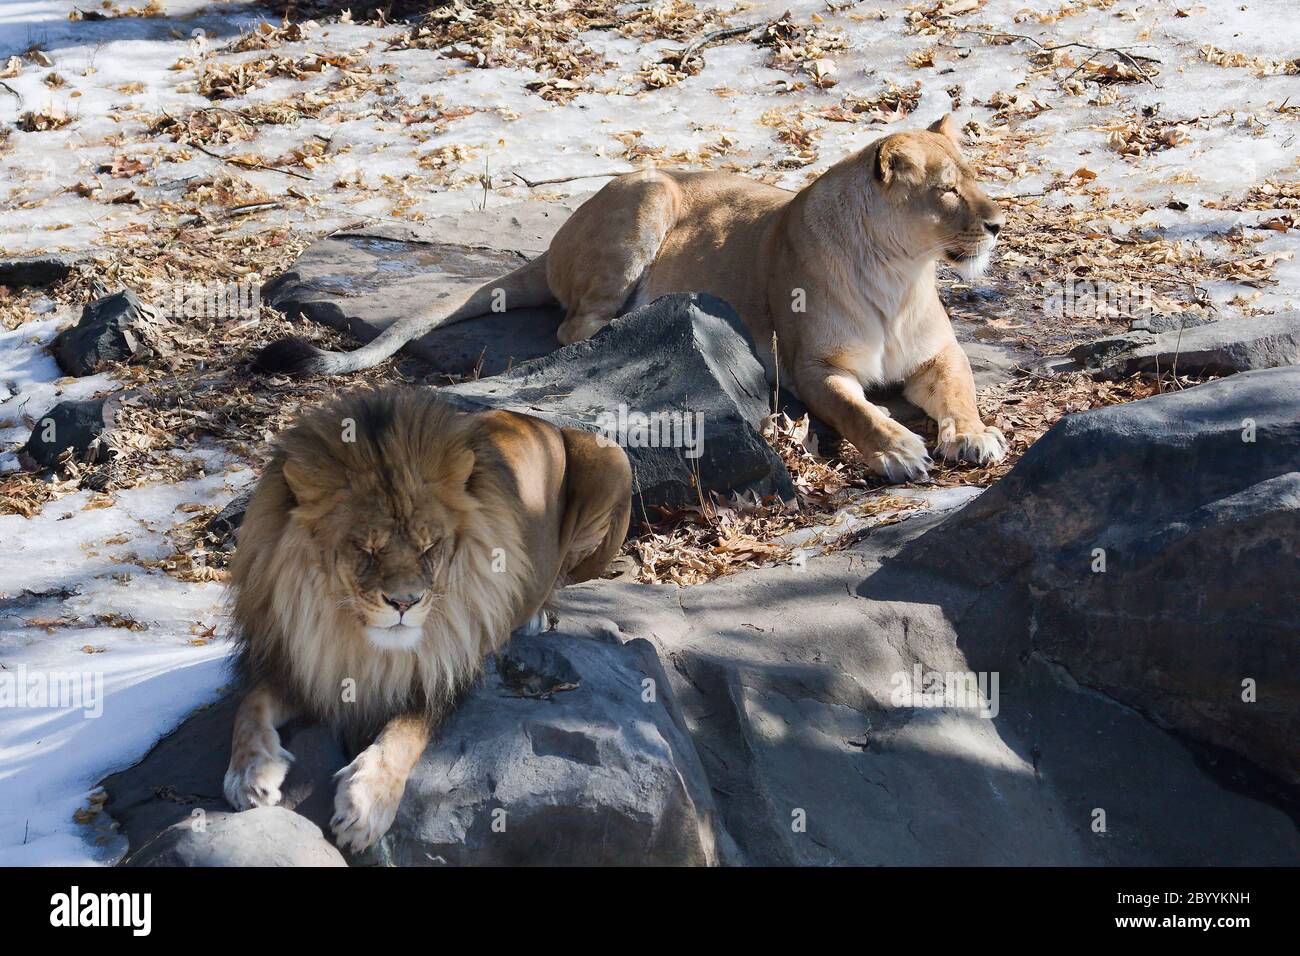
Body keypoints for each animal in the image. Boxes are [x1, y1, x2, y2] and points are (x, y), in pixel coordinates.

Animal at [226, 390, 631, 853]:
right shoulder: (300, 660)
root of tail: (541, 422)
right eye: (365, 548)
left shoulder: (448, 667)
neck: (352, 635)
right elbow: (250, 704)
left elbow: (404, 732)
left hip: (612, 458)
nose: (405, 602)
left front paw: (366, 801)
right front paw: (250, 773)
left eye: (429, 545)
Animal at [256, 115, 1003, 481]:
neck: (899, 273)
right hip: (646, 199)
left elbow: (961, 394)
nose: (998, 223)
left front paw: (974, 437)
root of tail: (556, 237)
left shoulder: (939, 354)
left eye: (976, 175)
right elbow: (857, 411)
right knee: (572, 328)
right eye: (947, 191)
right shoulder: (812, 367)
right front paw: (898, 448)